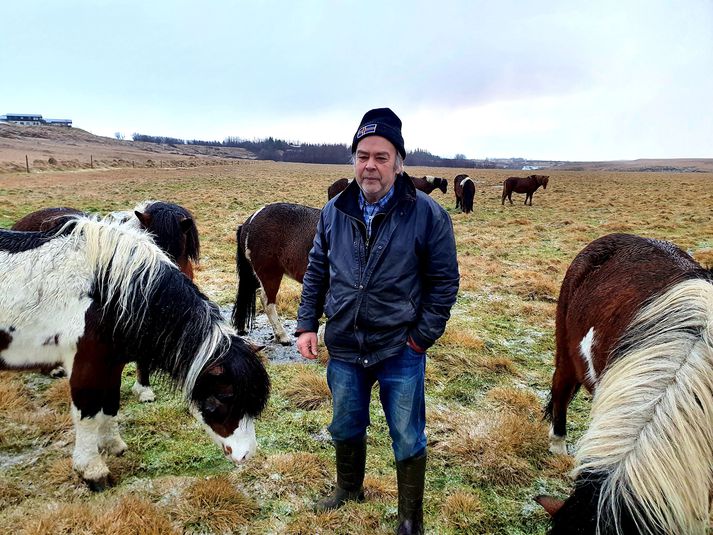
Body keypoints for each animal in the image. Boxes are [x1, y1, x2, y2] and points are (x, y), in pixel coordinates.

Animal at [0, 217, 270, 490]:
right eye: (225, 397)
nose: (247, 455)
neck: (108, 295)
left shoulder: (110, 363)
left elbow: (110, 403)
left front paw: (113, 445)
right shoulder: (85, 363)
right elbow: (88, 414)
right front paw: (92, 470)